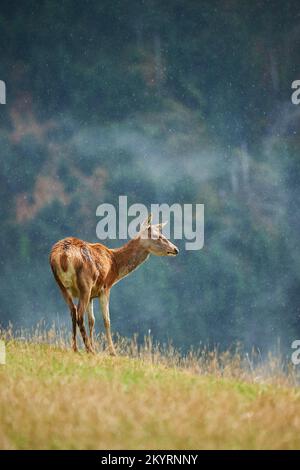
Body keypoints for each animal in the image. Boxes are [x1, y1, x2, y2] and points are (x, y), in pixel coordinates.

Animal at [49, 215, 178, 354]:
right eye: (158, 236)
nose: (176, 249)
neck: (115, 265)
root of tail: (62, 256)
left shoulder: (92, 295)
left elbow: (92, 320)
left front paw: (95, 347)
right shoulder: (105, 287)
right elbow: (107, 320)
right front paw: (112, 352)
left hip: (61, 284)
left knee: (73, 312)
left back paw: (76, 348)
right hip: (85, 284)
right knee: (79, 314)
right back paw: (89, 349)